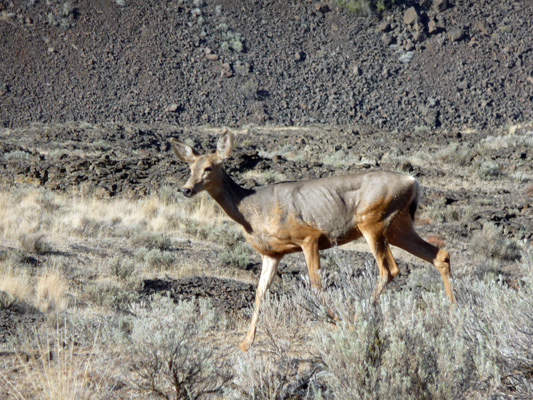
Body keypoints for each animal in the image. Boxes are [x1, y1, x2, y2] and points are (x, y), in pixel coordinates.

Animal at [171, 130, 458, 350]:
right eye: (190, 167)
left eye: (209, 168)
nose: (185, 189)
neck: (252, 211)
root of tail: (413, 181)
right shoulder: (272, 254)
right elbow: (260, 293)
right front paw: (246, 343)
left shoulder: (308, 237)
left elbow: (316, 285)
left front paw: (338, 323)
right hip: (399, 227)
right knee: (440, 255)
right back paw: (454, 312)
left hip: (372, 222)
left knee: (389, 269)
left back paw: (360, 316)